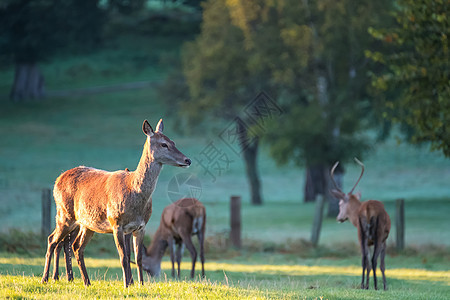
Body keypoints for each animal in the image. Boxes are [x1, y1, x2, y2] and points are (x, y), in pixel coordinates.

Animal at [40, 118, 192, 288]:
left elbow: (138, 258)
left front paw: (140, 284)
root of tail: (57, 180)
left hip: (87, 224)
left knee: (76, 247)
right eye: (163, 144)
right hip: (64, 214)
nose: (187, 160)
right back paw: (46, 278)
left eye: (173, 142)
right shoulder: (116, 223)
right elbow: (123, 257)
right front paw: (126, 285)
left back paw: (85, 281)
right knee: (52, 240)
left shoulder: (140, 226)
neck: (134, 192)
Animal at [328, 158, 392, 290]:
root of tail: (367, 208)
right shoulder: (384, 240)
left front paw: (367, 285)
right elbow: (382, 265)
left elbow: (367, 262)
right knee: (373, 259)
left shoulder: (368, 240)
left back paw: (363, 285)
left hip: (361, 234)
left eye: (339, 204)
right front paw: (385, 286)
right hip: (378, 232)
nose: (338, 217)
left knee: (364, 259)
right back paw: (376, 286)